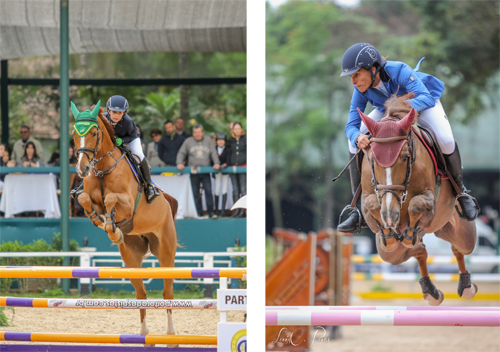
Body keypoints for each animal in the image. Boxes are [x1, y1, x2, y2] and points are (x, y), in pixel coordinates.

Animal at [70, 102, 180, 344]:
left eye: (94, 133)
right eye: (74, 133)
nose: (82, 169)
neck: (103, 168)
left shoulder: (128, 204)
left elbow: (111, 199)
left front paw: (112, 227)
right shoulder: (88, 197)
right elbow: (84, 200)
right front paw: (104, 223)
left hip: (166, 253)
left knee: (168, 292)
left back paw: (171, 334)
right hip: (131, 257)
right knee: (141, 293)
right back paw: (144, 334)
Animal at [360, 93, 476, 306]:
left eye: (406, 157)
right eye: (372, 158)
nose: (390, 215)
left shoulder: (430, 199)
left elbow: (416, 204)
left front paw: (407, 230)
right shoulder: (367, 201)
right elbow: (371, 203)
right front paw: (390, 231)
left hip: (463, 233)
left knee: (458, 248)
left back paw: (466, 286)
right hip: (390, 254)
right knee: (418, 250)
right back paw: (430, 291)